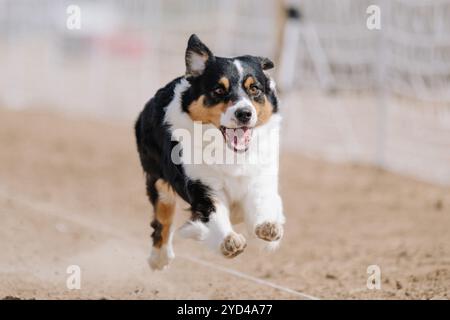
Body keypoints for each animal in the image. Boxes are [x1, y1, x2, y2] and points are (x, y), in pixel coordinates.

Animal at [134, 34, 284, 270]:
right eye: (219, 90)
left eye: (254, 88)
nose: (244, 113)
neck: (229, 151)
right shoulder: (203, 187)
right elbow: (214, 215)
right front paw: (229, 242)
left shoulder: (259, 177)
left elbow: (263, 203)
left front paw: (268, 227)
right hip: (158, 180)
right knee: (163, 218)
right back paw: (159, 258)